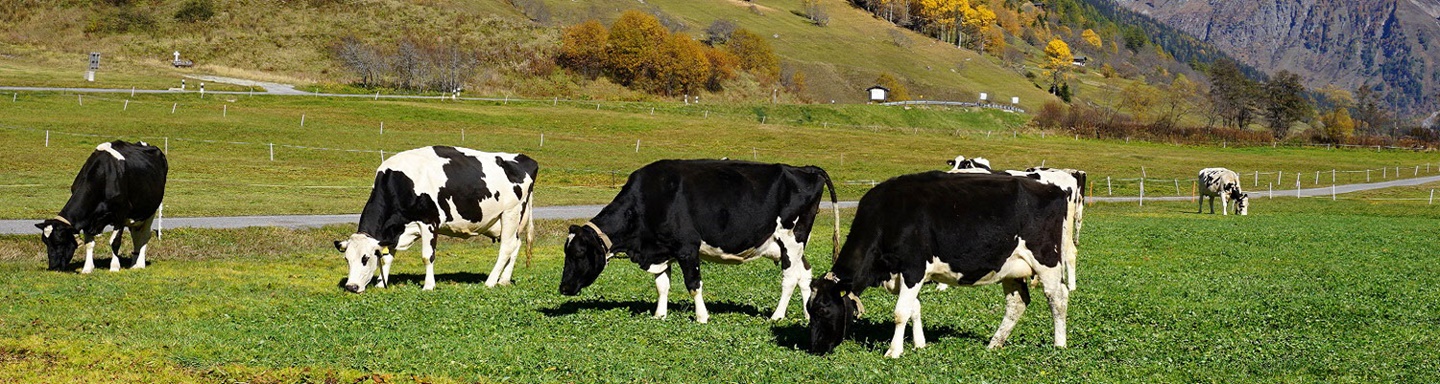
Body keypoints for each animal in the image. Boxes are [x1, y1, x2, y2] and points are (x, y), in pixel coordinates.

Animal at [36, 141, 167, 274]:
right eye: (45, 242)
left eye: (59, 241)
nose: (53, 267)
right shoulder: (88, 217)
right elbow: (89, 243)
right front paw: (87, 268)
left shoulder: (120, 214)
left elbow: (115, 241)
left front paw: (114, 267)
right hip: (134, 216)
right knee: (136, 236)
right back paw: (133, 263)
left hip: (150, 210)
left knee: (144, 235)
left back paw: (140, 264)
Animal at [334, 145, 538, 293]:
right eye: (346, 259)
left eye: (365, 258)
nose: (351, 287)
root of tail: (524, 158)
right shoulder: (395, 230)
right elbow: (387, 257)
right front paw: (380, 284)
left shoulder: (429, 221)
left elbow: (427, 256)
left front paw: (428, 285)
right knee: (516, 244)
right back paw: (504, 280)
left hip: (511, 212)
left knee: (506, 247)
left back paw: (490, 281)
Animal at [555, 161, 840, 323]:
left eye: (578, 253)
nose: (563, 288)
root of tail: (805, 169)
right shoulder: (663, 250)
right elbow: (662, 285)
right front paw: (660, 315)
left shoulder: (686, 248)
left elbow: (693, 285)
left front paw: (702, 317)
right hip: (791, 245)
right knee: (805, 274)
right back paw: (807, 314)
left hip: (790, 238)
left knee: (790, 278)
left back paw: (777, 316)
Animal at [806, 171, 1077, 358]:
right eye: (808, 309)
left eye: (822, 310)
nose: (815, 347)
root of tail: (1054, 190)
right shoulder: (908, 275)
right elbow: (914, 308)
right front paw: (919, 344)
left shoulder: (913, 268)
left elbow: (900, 312)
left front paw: (894, 351)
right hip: (1011, 268)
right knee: (1017, 303)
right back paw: (994, 343)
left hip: (1047, 260)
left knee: (1058, 298)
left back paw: (1059, 344)